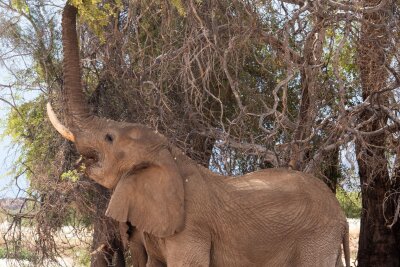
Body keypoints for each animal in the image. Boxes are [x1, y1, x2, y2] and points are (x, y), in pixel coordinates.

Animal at [48, 3, 350, 266]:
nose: (78, 7)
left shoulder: (191, 228)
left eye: (109, 138)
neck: (169, 155)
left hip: (316, 239)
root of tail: (342, 217)